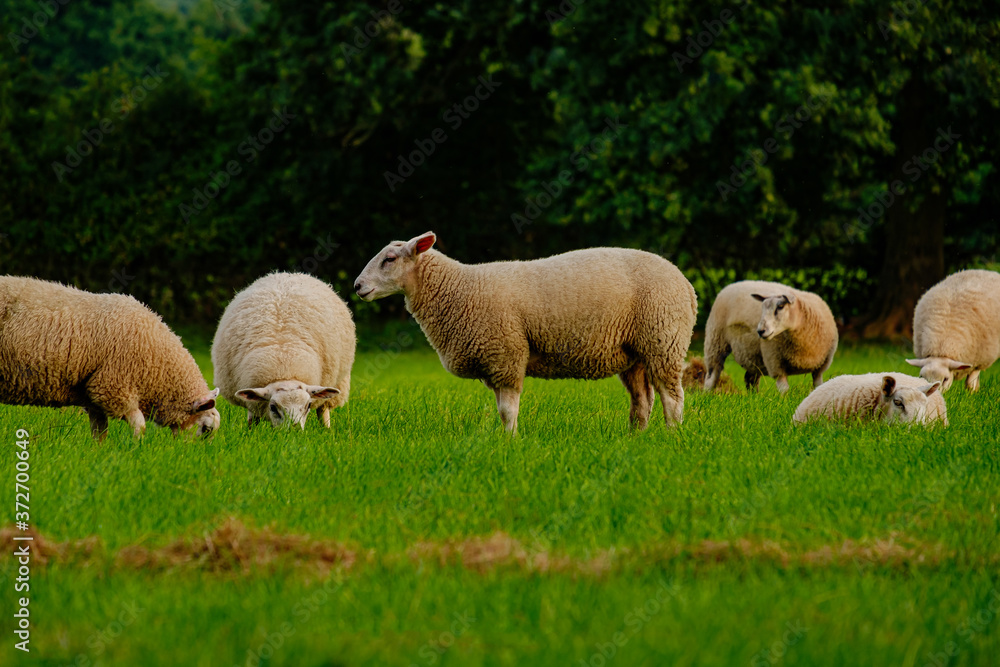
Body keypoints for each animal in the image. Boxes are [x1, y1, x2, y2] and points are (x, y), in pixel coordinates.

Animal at [0, 276, 220, 439]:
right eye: (206, 429)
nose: (194, 454)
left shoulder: (93, 396)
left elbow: (100, 431)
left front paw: (99, 451)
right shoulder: (111, 387)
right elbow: (139, 424)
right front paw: (136, 448)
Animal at [211, 272, 356, 429]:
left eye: (308, 405)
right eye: (273, 407)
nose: (294, 429)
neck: (284, 364)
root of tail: (288, 274)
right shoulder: (253, 403)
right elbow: (252, 420)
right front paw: (251, 433)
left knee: (324, 410)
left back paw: (326, 429)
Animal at [353, 232, 697, 433]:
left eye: (389, 259)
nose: (357, 286)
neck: (459, 288)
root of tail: (685, 283)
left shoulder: (506, 354)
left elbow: (507, 410)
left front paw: (511, 442)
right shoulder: (493, 362)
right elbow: (500, 408)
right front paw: (506, 441)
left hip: (663, 340)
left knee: (672, 397)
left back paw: (672, 435)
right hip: (634, 354)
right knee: (643, 400)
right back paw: (636, 437)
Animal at [703, 280, 838, 394]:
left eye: (780, 307)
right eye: (762, 308)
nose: (760, 331)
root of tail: (730, 286)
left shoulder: (820, 369)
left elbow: (818, 386)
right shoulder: (775, 363)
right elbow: (784, 390)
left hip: (752, 353)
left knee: (750, 378)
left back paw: (754, 397)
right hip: (715, 341)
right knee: (712, 373)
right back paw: (707, 394)